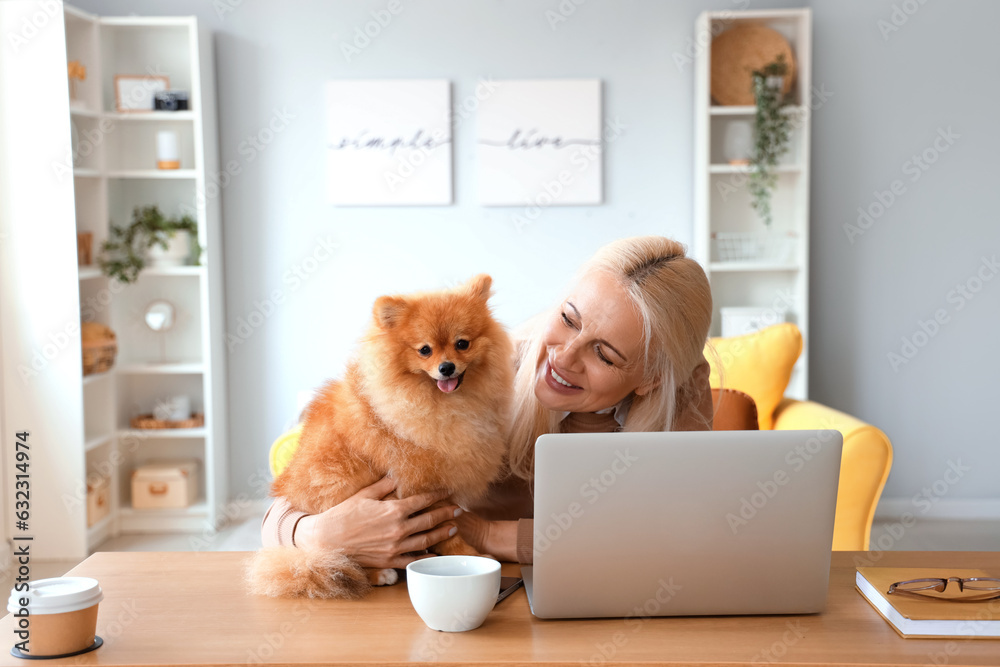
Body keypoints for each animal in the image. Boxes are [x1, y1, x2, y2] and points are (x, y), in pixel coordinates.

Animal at [245, 276, 512, 600]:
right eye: (425, 350)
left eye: (462, 343)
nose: (446, 367)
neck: (442, 403)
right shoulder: (423, 487)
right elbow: (449, 532)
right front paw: (469, 554)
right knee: (341, 560)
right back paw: (379, 572)